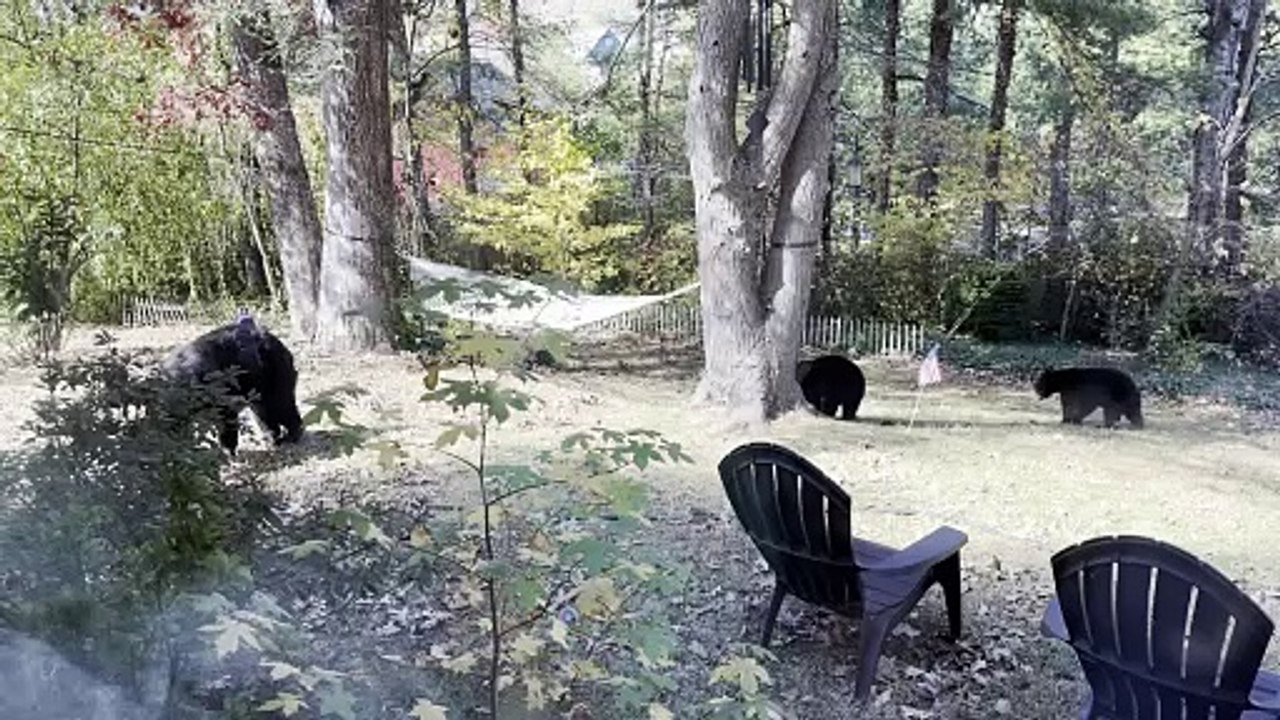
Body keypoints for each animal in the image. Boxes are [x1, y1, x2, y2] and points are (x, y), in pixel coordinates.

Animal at [163, 313, 305, 453]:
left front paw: (228, 449)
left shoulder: (216, 389)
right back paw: (272, 437)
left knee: (279, 404)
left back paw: (292, 435)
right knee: (263, 410)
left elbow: (226, 417)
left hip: (278, 369)